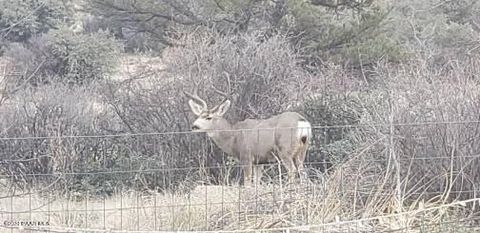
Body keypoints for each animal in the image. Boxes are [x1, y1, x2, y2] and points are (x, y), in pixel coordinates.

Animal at [183, 87, 312, 186]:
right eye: (199, 116)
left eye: (208, 117)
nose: (194, 126)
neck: (233, 136)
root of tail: (302, 122)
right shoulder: (260, 161)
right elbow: (257, 182)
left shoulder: (247, 156)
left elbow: (248, 182)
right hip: (302, 150)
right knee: (302, 171)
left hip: (285, 150)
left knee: (292, 170)